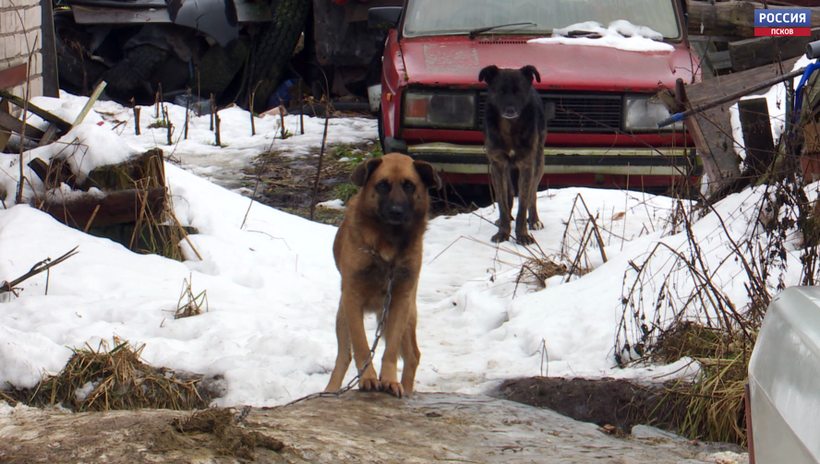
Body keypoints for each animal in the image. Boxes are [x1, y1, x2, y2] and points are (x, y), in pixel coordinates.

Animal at [326, 153, 442, 398]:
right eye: (382, 185)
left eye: (409, 185)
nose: (397, 211)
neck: (388, 247)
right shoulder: (352, 300)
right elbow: (361, 346)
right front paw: (368, 378)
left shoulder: (399, 302)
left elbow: (390, 351)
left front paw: (389, 380)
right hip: (343, 315)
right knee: (344, 355)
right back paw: (330, 390)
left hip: (405, 314)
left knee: (412, 355)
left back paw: (407, 389)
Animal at [478, 65, 548, 246]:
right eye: (501, 91)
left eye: (519, 91)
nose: (510, 110)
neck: (510, 128)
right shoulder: (498, 165)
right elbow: (503, 203)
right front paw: (503, 232)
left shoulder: (527, 165)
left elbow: (523, 203)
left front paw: (522, 235)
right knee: (509, 194)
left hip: (539, 162)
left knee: (532, 193)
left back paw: (534, 220)